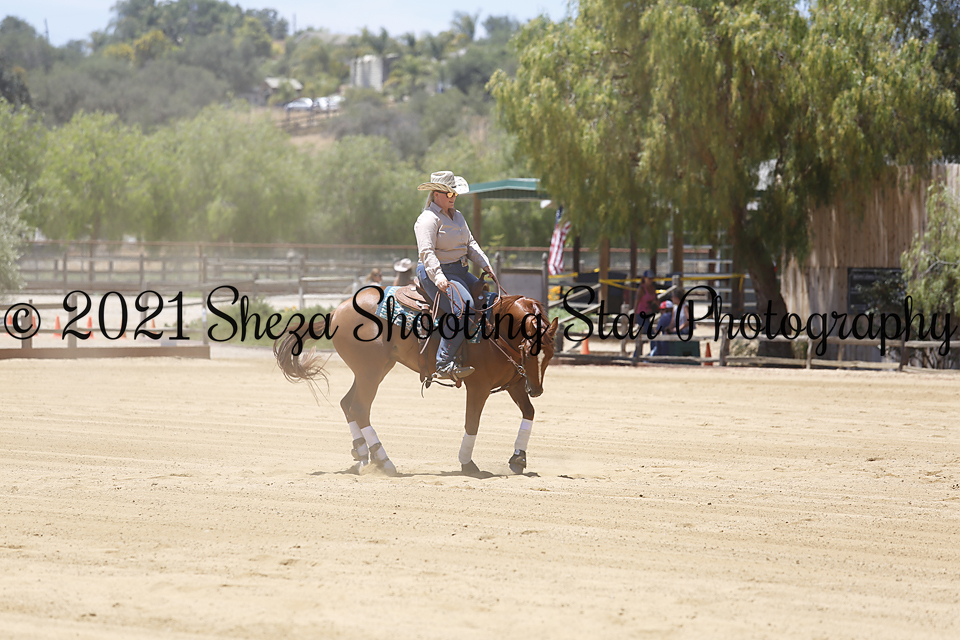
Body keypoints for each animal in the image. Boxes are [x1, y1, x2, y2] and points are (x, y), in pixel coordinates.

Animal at [274, 285, 560, 477]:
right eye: (528, 351)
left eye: (549, 354)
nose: (536, 389)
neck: (495, 329)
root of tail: (335, 312)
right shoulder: (478, 387)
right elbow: (472, 423)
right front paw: (467, 464)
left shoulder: (515, 384)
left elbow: (529, 412)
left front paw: (518, 459)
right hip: (370, 371)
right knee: (360, 408)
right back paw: (384, 461)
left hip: (374, 369)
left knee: (348, 404)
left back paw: (362, 454)